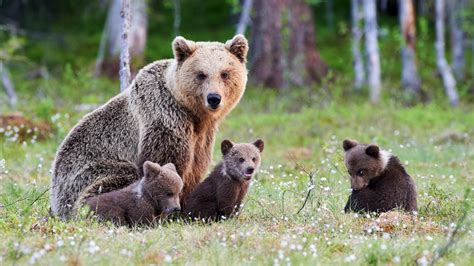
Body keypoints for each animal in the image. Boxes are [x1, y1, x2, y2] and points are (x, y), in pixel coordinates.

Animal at [50, 34, 250, 218]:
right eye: (201, 74)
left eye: (225, 73)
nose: (214, 98)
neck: (193, 114)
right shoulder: (164, 118)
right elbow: (165, 164)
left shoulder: (202, 136)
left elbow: (195, 168)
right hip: (87, 174)